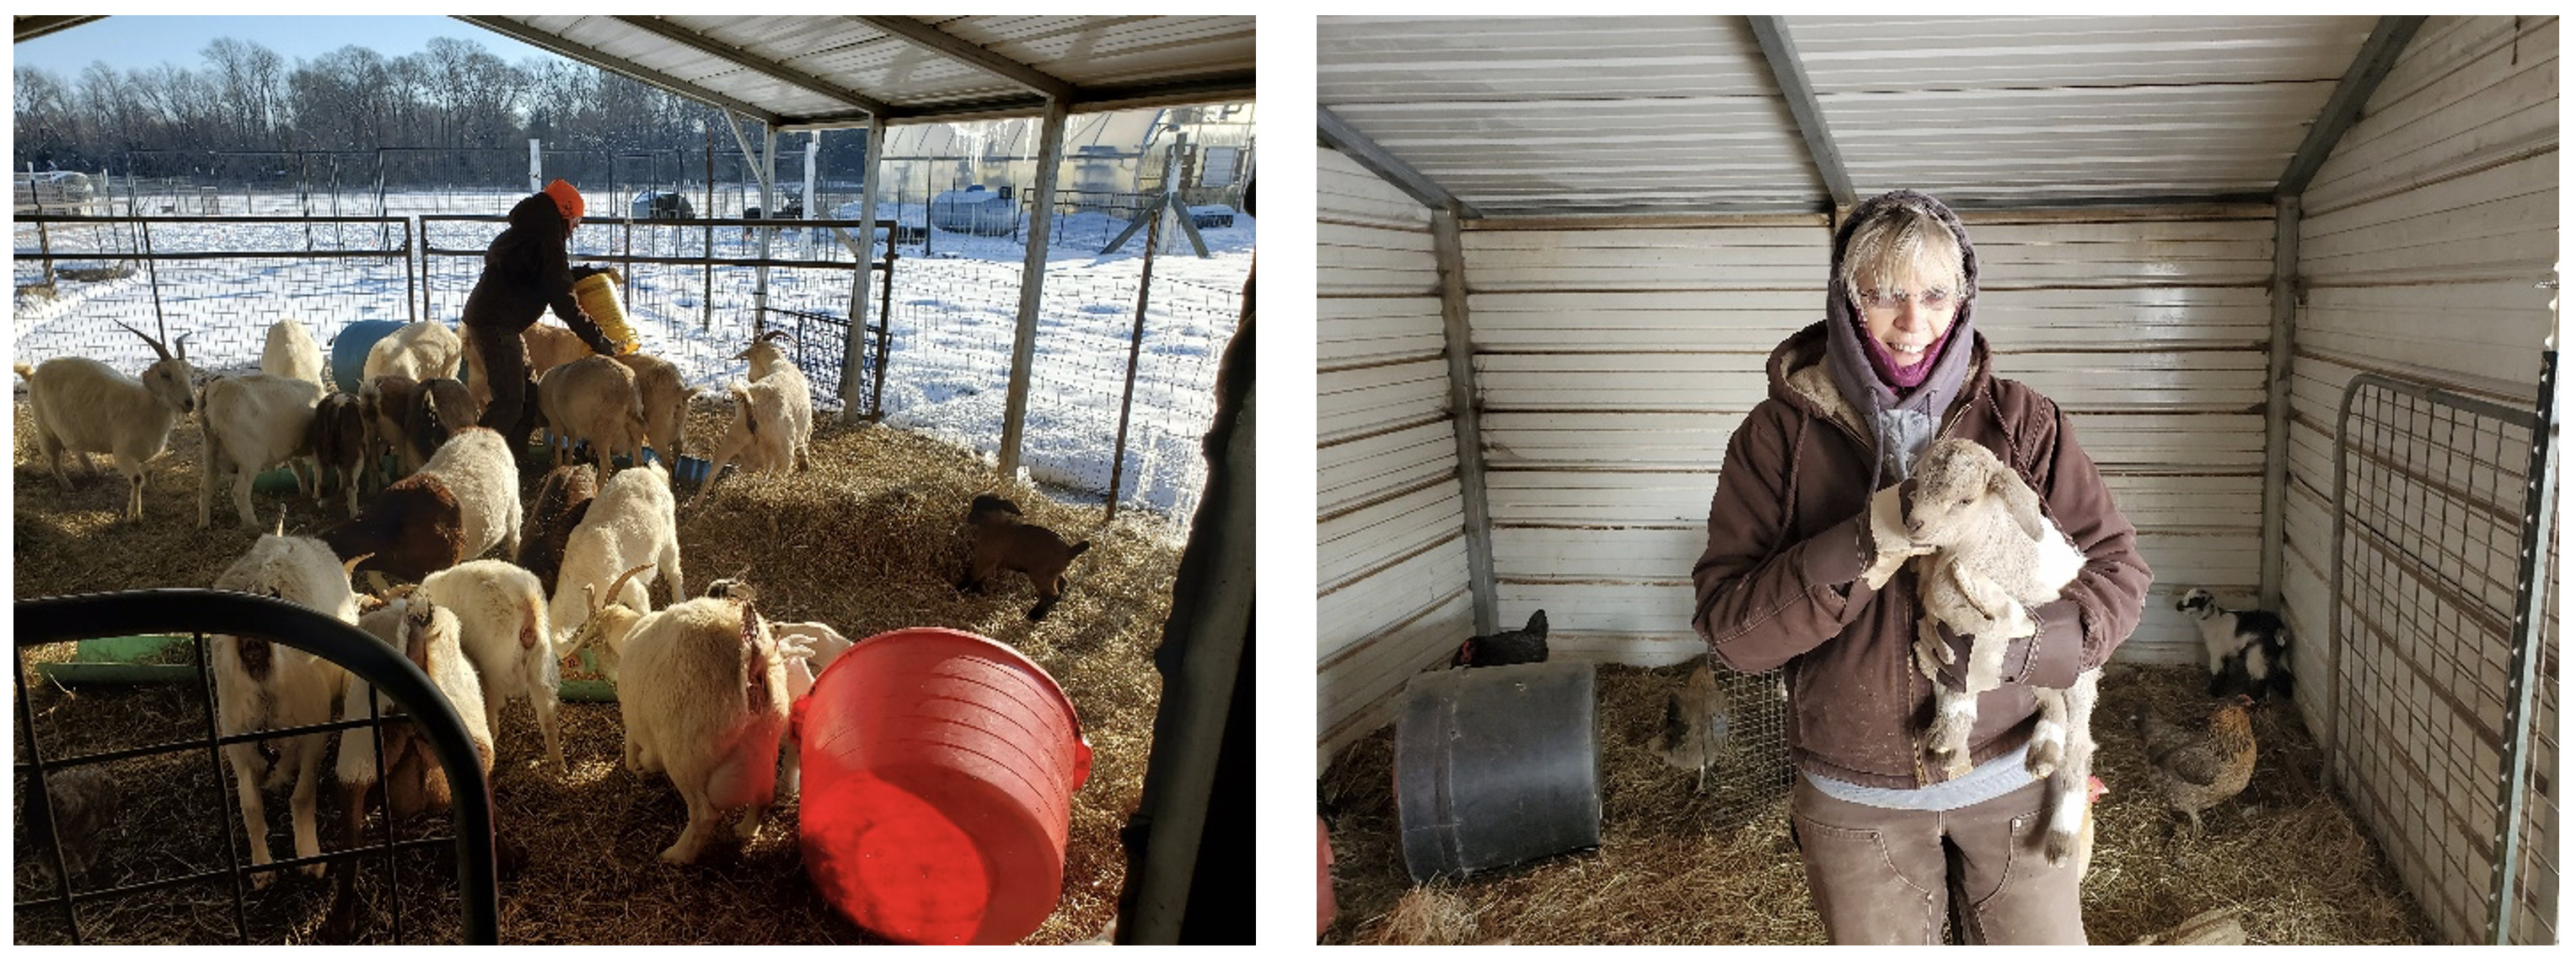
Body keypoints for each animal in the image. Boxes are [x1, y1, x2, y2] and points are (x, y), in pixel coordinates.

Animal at [15, 322, 198, 520]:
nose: (190, 403)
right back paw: (67, 485)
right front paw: (134, 515)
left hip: (70, 428)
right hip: (45, 428)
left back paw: (92, 469)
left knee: (76, 447)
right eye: (165, 375)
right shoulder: (122, 453)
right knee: (54, 460)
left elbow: (149, 471)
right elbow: (137, 478)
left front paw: (153, 489)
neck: (145, 406)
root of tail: (34, 374)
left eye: (190, 374)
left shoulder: (148, 452)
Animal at [211, 520, 371, 886]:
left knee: (250, 804)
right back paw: (310, 860)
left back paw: (262, 870)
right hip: (310, 723)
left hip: (235, 730)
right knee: (302, 794)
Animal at [422, 561, 569, 773]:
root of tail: (526, 599)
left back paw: (493, 735)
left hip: (495, 666)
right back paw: (557, 763)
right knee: (548, 716)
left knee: (491, 707)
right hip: (543, 667)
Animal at [963, 492, 1092, 621]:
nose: (969, 518)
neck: (996, 527)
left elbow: (973, 575)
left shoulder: (986, 558)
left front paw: (962, 588)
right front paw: (978, 591)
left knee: (1050, 594)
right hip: (1053, 574)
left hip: (1040, 574)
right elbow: (981, 577)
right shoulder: (989, 561)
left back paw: (1033, 615)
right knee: (1062, 584)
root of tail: (1069, 551)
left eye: (984, 507)